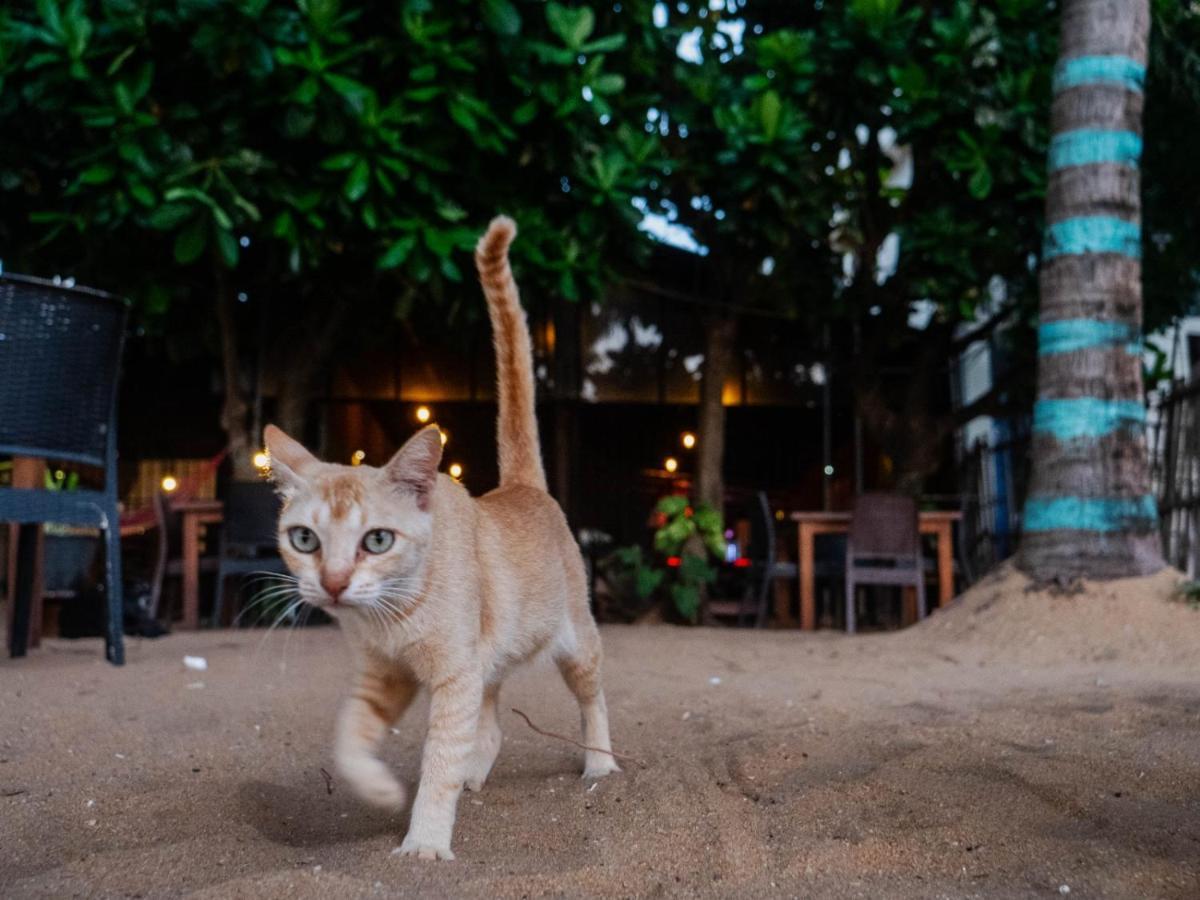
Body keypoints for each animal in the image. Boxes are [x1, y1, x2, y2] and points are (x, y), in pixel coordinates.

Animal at [262, 217, 619, 859]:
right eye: (304, 539)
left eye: (377, 541)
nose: (333, 583)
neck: (392, 616)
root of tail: (521, 486)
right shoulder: (386, 677)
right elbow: (349, 737)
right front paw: (380, 791)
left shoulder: (454, 678)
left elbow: (439, 761)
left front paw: (425, 841)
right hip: (491, 662)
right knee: (494, 727)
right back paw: (477, 774)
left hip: (576, 641)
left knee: (592, 699)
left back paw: (600, 765)